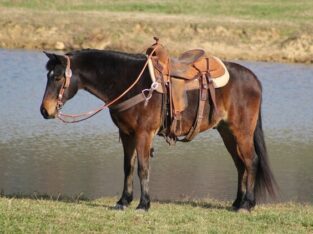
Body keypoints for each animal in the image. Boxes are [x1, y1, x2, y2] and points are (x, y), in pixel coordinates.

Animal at [39, 46, 276, 211]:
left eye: (58, 77)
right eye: (47, 76)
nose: (45, 110)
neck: (129, 83)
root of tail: (253, 79)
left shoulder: (144, 134)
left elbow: (143, 167)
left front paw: (144, 204)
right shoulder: (127, 134)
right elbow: (128, 166)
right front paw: (123, 201)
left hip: (242, 132)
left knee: (251, 161)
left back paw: (247, 205)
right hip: (226, 132)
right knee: (240, 164)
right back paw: (236, 203)